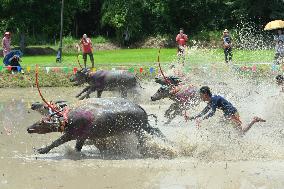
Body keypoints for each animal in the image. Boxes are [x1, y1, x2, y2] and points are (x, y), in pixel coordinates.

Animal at [27, 97, 164, 155]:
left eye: (41, 123)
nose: (28, 128)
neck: (68, 119)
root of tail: (141, 108)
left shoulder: (70, 135)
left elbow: (56, 142)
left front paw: (42, 150)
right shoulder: (82, 138)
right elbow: (78, 148)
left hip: (140, 128)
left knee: (147, 136)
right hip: (142, 128)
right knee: (155, 131)